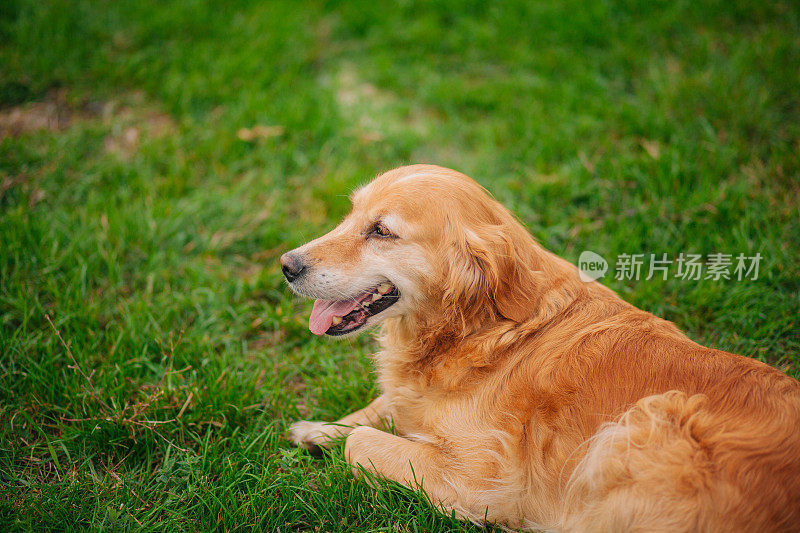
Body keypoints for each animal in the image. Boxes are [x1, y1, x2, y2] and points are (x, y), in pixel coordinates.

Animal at [282, 164, 800, 528]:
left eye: (382, 231)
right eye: (350, 213)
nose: (286, 265)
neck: (483, 330)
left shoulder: (484, 482)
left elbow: (365, 442)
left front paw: (341, 436)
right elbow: (382, 407)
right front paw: (320, 428)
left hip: (642, 423)